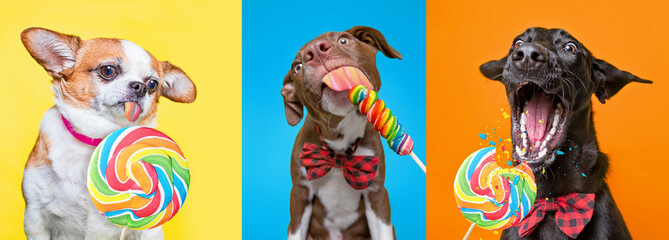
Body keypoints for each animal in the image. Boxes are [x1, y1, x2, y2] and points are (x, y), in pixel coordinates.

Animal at [18, 28, 196, 240]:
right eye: (108, 71)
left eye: (153, 84)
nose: (141, 87)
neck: (97, 140)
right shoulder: (35, 217)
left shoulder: (149, 227)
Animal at [280, 26, 400, 240]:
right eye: (297, 67)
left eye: (343, 40)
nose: (315, 51)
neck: (340, 144)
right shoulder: (300, 194)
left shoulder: (376, 193)